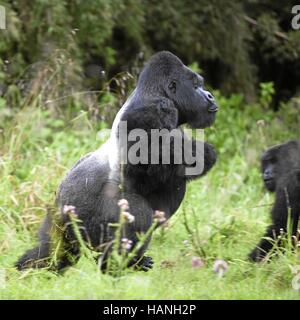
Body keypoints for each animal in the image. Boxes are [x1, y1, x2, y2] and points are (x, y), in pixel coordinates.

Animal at [16, 51, 218, 272]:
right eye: (196, 85)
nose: (210, 95)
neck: (156, 91)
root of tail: (61, 207)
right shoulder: (155, 112)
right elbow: (151, 158)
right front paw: (205, 153)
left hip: (58, 223)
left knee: (55, 251)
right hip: (85, 214)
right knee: (138, 214)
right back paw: (122, 264)